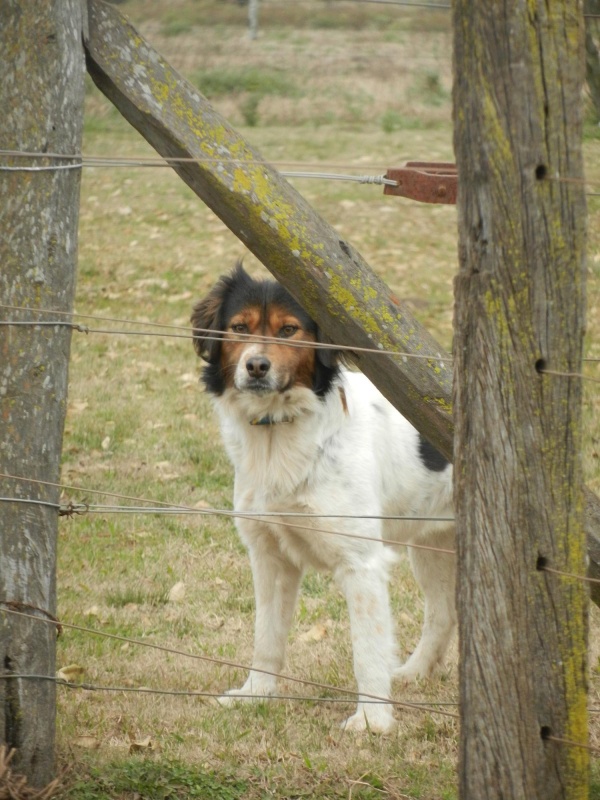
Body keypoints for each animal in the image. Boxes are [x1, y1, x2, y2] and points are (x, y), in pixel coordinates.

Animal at [192, 262, 454, 732]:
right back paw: (414, 672)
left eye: (289, 329)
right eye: (239, 327)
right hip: (430, 545)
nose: (256, 366)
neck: (280, 433)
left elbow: (366, 649)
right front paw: (256, 694)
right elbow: (267, 637)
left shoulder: (361, 563)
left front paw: (372, 721)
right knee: (442, 614)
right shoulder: (269, 555)